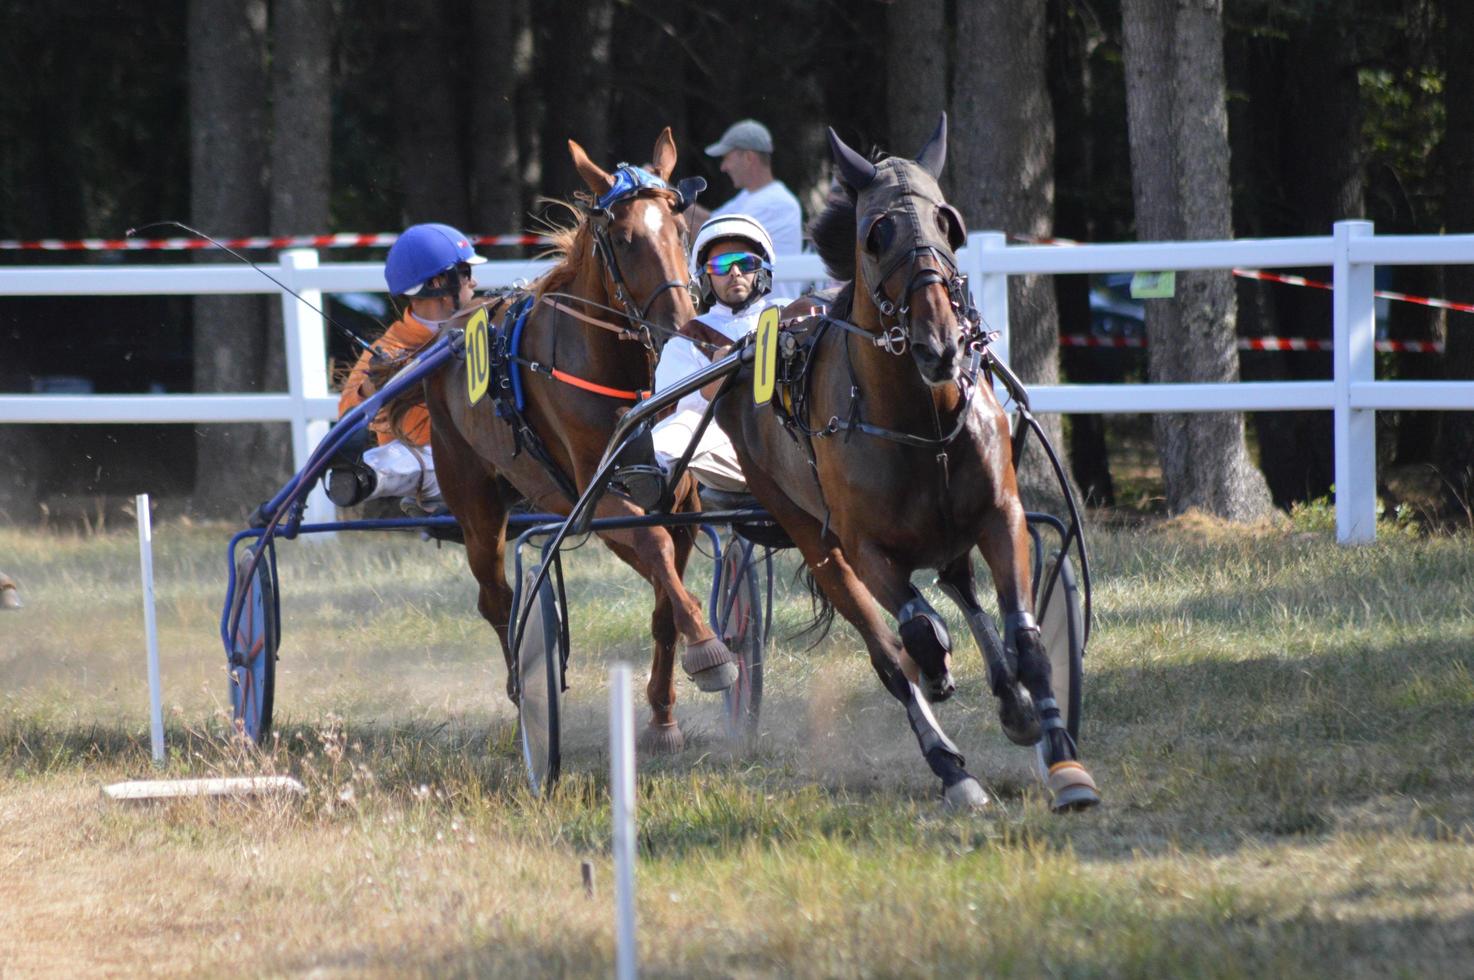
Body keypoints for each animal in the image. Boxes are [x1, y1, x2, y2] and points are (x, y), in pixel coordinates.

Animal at [421, 129, 731, 751]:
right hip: (472, 498)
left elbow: (666, 592)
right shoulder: (598, 496)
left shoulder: (677, 497)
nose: (682, 326)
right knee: (496, 597)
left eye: (680, 230)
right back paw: (521, 688)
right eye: (625, 239)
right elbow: (655, 549)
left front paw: (662, 715)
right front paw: (708, 649)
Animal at [713, 114, 1096, 807]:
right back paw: (950, 764)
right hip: (809, 532)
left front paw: (1061, 756)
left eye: (950, 224)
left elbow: (1025, 637)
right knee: (890, 647)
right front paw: (938, 674)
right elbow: (913, 633)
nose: (939, 345)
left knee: (957, 584)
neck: (924, 419)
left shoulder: (999, 514)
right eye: (876, 234)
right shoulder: (862, 546)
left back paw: (1010, 702)